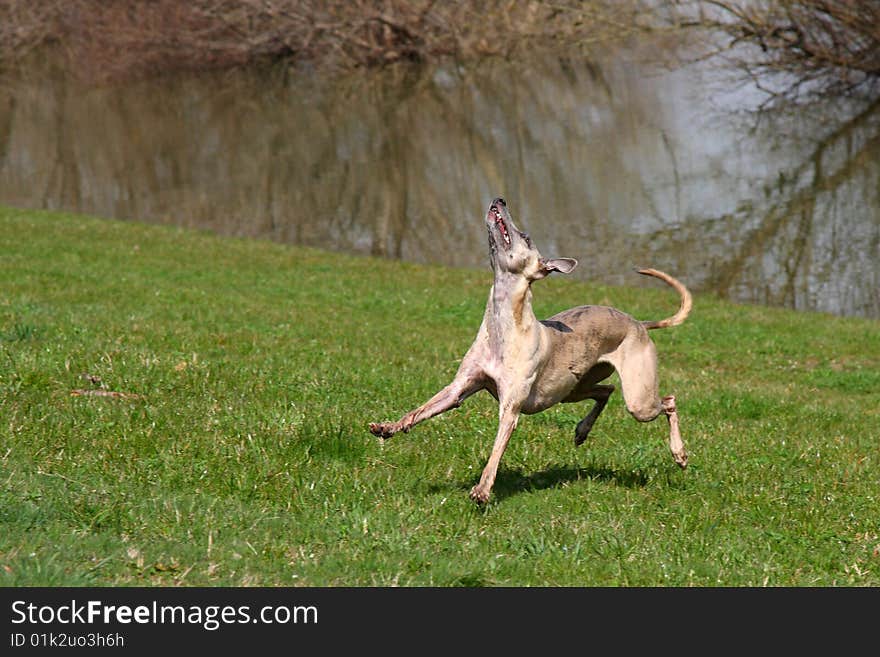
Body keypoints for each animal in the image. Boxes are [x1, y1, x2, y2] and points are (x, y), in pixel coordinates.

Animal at [368, 197, 692, 504]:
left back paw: (679, 453)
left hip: (639, 400)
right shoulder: (458, 388)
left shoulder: (510, 408)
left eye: (524, 236)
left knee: (668, 401)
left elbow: (496, 452)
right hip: (572, 389)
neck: (504, 327)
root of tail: (638, 323)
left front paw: (482, 491)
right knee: (606, 390)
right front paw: (388, 427)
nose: (500, 199)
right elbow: (420, 410)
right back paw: (582, 430)